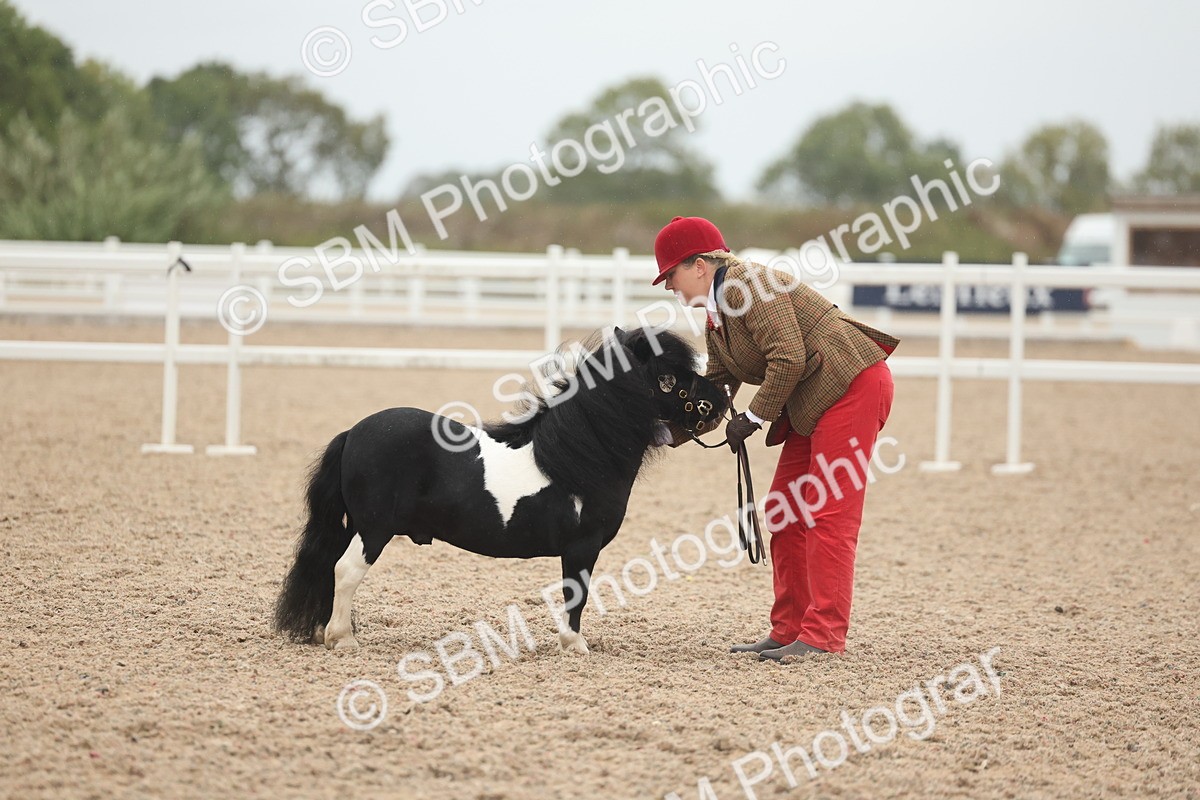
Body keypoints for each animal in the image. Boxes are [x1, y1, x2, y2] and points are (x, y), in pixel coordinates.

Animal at [272, 326, 729, 653]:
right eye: (668, 378)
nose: (720, 398)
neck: (579, 456)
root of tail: (353, 433)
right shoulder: (582, 546)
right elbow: (576, 595)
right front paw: (574, 645)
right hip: (373, 530)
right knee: (346, 571)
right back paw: (343, 639)